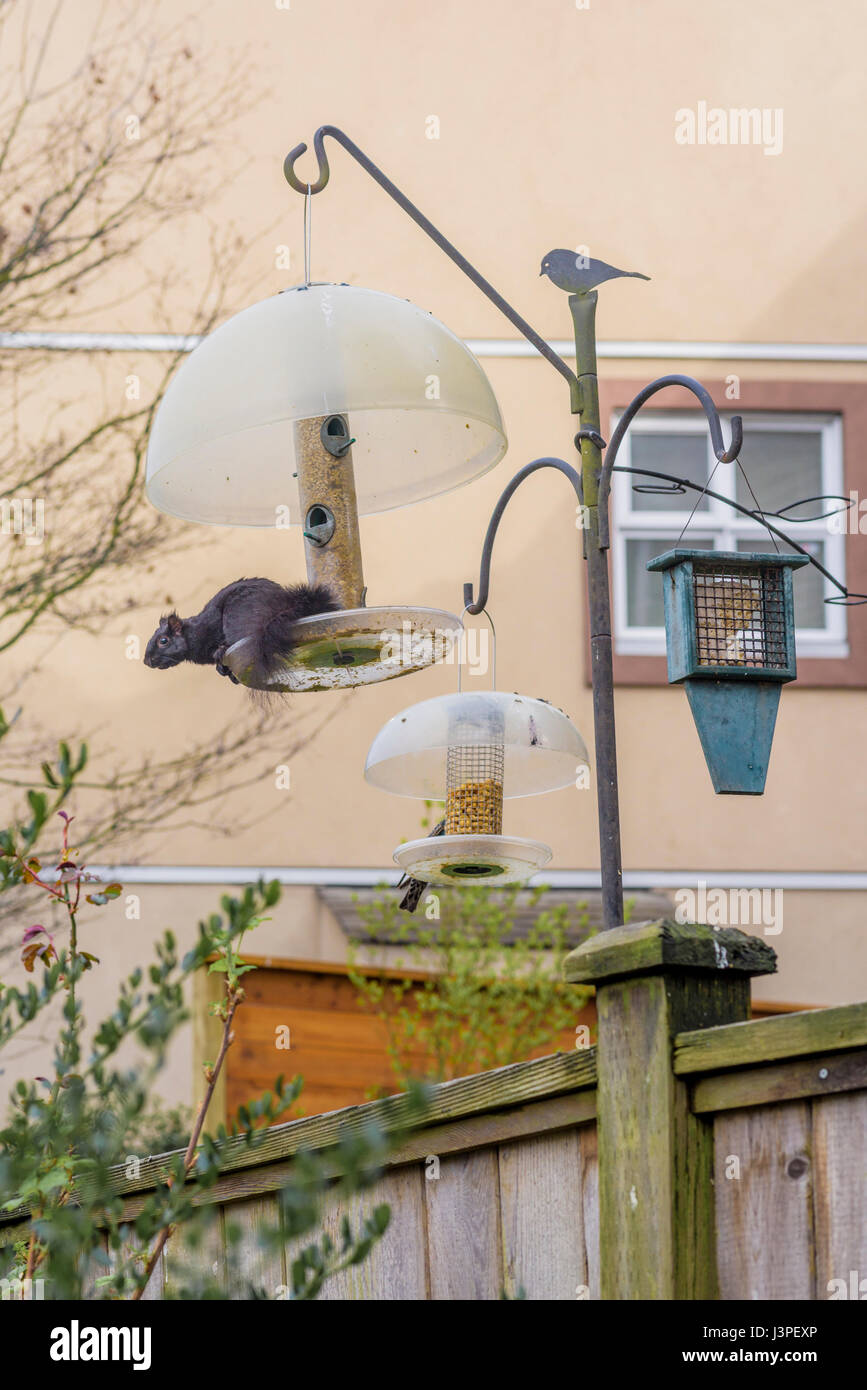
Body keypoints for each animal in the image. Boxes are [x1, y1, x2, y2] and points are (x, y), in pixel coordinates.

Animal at [145, 575, 339, 683]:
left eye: (163, 641)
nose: (147, 661)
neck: (194, 633)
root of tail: (287, 604)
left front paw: (221, 654)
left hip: (237, 614)